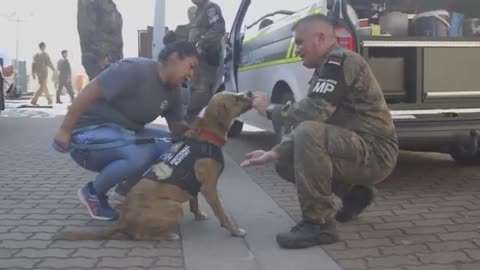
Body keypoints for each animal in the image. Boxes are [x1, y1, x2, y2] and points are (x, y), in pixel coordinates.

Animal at [54, 91, 253, 240]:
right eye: (236, 98)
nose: (250, 92)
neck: (204, 134)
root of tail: (123, 221)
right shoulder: (209, 187)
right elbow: (222, 213)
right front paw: (235, 231)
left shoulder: (196, 187)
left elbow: (194, 202)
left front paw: (198, 215)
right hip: (174, 207)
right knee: (140, 236)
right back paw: (169, 236)